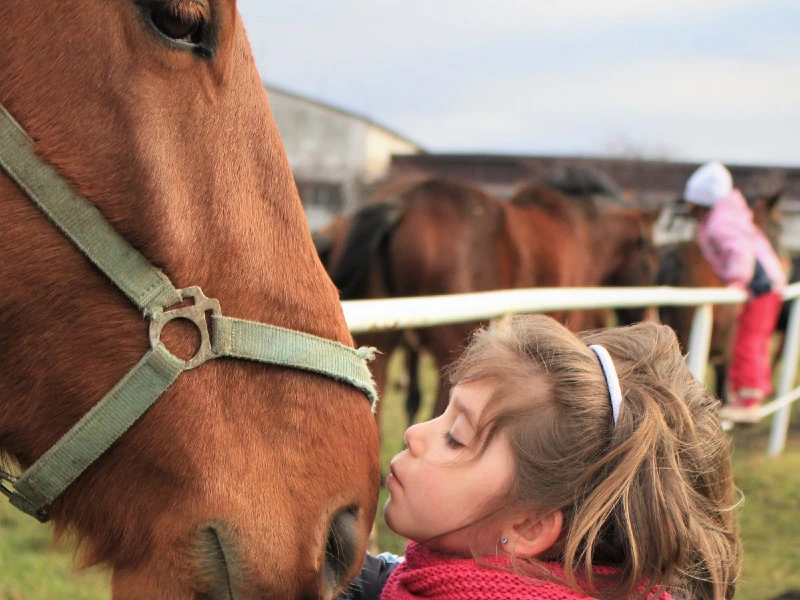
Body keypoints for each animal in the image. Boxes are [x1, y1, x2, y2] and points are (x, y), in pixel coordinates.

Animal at [320, 175, 659, 423]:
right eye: (650, 259)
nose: (647, 318)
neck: (581, 232)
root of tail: (402, 202)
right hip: (453, 346)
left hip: (386, 342)